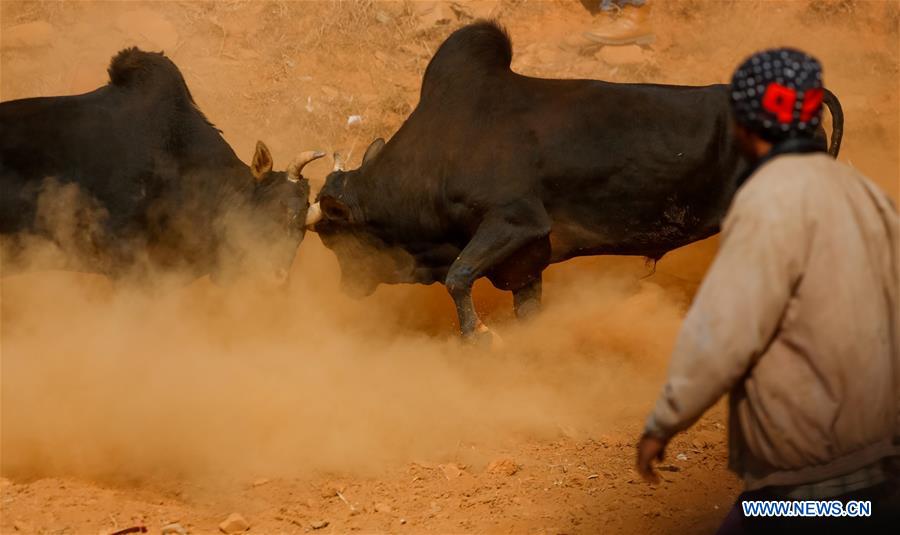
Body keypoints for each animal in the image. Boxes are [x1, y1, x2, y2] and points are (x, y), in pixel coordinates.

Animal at [312, 22, 844, 344]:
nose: (344, 289)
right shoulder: (525, 262)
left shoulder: (515, 221)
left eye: (335, 239)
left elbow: (457, 277)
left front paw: (477, 337)